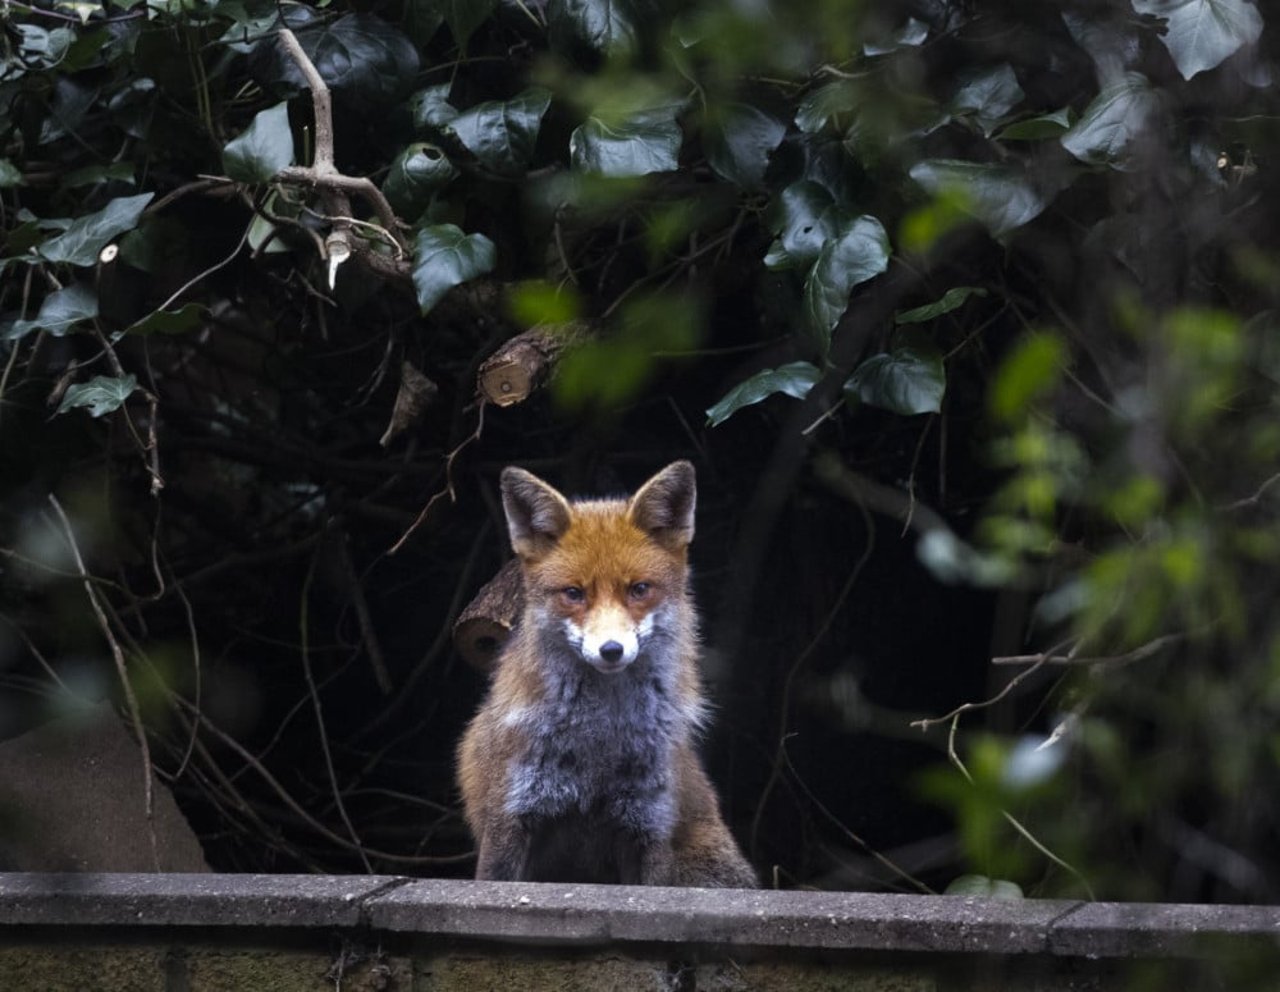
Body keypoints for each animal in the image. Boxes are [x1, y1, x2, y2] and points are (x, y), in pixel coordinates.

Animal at [460, 460, 757, 890]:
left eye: (639, 589)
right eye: (574, 593)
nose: (611, 650)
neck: (599, 740)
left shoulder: (647, 823)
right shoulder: (511, 815)